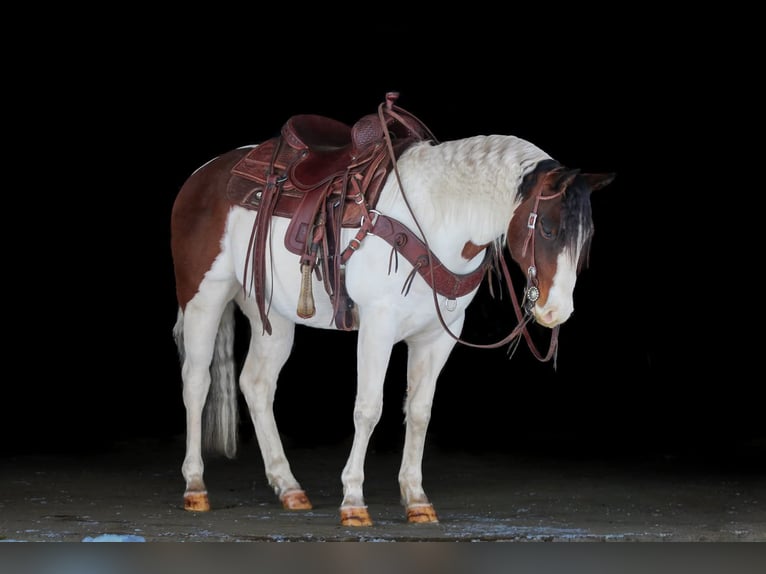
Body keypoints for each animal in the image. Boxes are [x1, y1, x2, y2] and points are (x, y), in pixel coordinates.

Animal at [170, 93, 615, 527]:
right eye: (549, 229)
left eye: (587, 237)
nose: (556, 311)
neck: (436, 218)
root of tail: (203, 175)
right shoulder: (377, 326)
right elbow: (368, 408)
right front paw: (353, 501)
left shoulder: (438, 336)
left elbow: (418, 411)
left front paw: (416, 498)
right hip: (204, 298)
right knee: (196, 382)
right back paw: (195, 487)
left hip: (272, 316)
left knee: (257, 384)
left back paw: (289, 487)